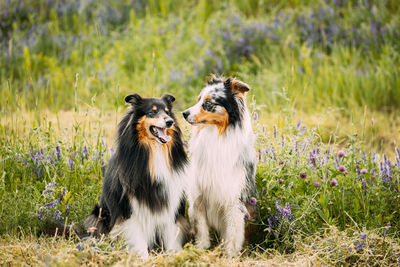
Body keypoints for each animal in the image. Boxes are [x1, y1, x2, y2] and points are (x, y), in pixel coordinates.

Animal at [83, 93, 189, 260]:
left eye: (167, 112)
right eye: (152, 112)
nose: (169, 122)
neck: (154, 150)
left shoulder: (170, 204)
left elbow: (171, 236)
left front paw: (174, 256)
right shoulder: (131, 209)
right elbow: (138, 239)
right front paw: (144, 259)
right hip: (98, 215)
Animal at [183, 75, 258, 258]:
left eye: (208, 103)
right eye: (198, 99)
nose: (184, 114)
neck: (215, 134)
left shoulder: (233, 198)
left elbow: (233, 233)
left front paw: (230, 255)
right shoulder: (198, 196)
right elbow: (201, 228)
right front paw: (200, 250)